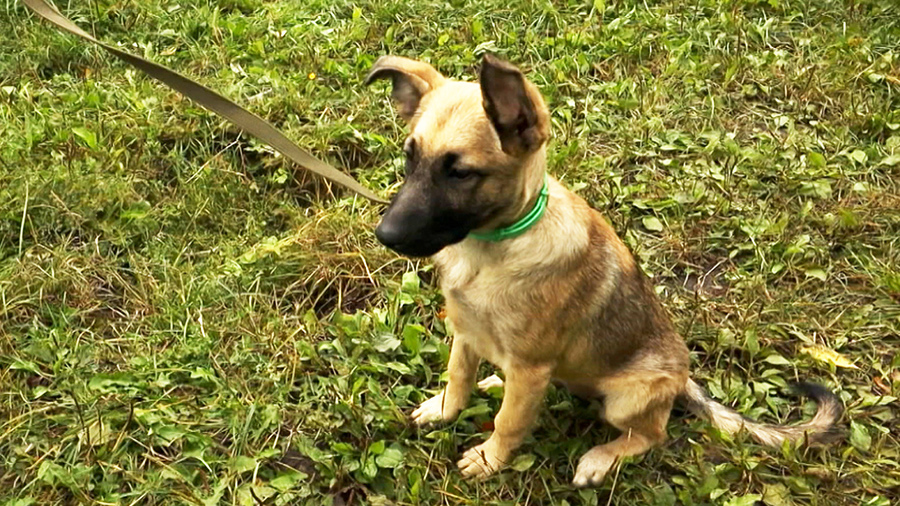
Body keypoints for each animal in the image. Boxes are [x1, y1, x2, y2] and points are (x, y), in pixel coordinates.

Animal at [365, 54, 843, 487]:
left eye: (461, 173)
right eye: (409, 159)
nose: (384, 235)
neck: (493, 248)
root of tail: (682, 379)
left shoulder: (530, 364)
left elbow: (509, 422)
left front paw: (489, 459)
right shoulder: (466, 332)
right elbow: (459, 377)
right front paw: (445, 409)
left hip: (626, 396)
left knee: (651, 434)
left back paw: (599, 458)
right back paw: (498, 383)